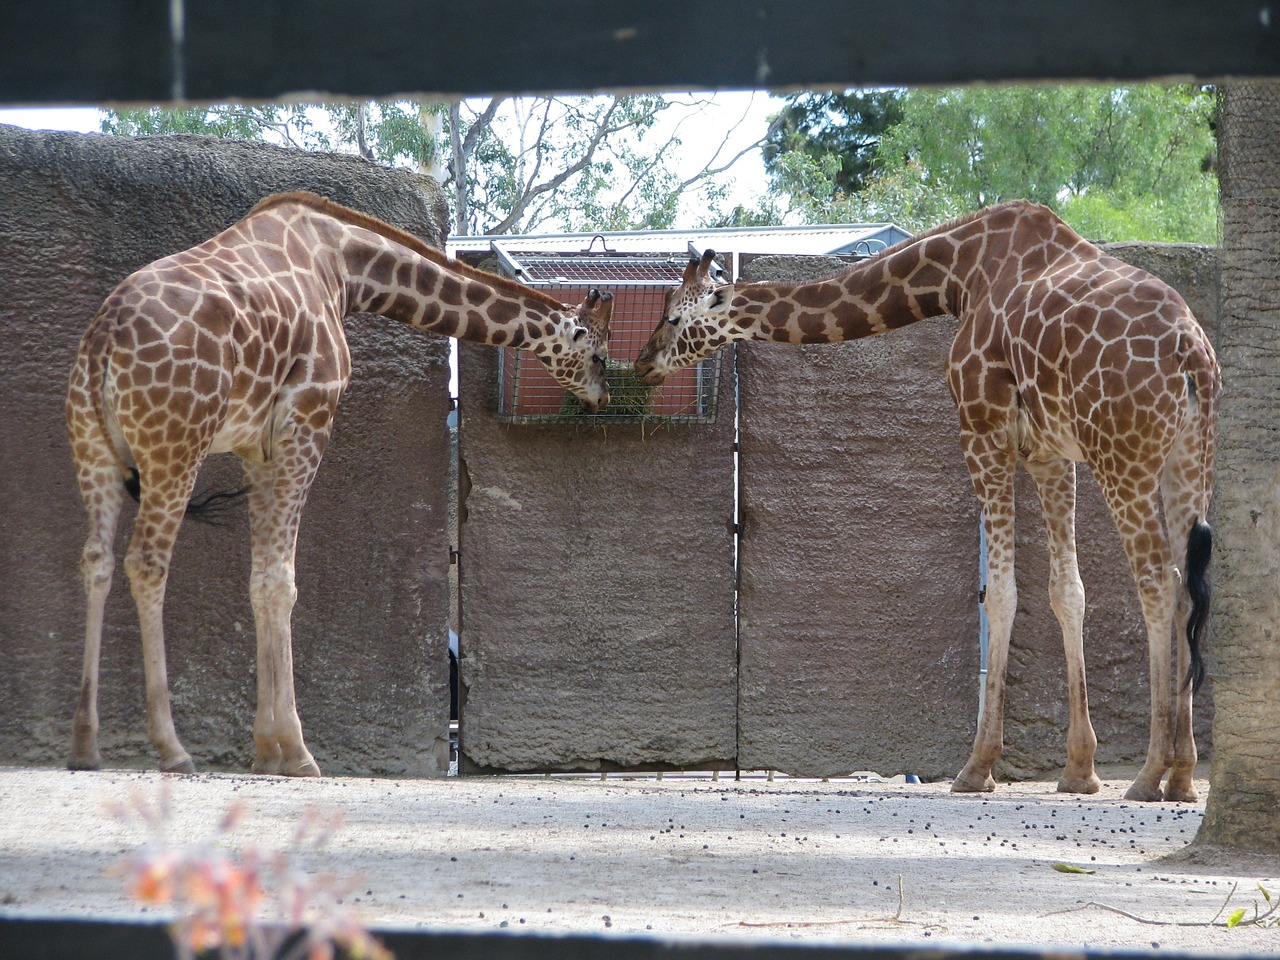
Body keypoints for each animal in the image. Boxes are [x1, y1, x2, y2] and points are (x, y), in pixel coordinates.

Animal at [64, 192, 614, 778]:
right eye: (599, 353)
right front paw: (297, 751)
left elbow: (259, 580)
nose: (602, 398)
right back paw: (171, 747)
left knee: (96, 561)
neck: (344, 265)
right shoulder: (308, 419)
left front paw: (266, 751)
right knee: (146, 562)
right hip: (177, 441)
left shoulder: (255, 447)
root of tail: (105, 337)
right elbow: (282, 582)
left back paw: (85, 744)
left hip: (93, 448)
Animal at [634, 199, 1213, 798]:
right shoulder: (1050, 453)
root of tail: (1192, 353)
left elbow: (1000, 593)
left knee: (1158, 582)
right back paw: (1183, 772)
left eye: (673, 317)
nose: (643, 362)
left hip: (1123, 454)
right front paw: (1079, 769)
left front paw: (977, 766)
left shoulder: (982, 428)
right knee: (1190, 588)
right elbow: (1067, 592)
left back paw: (1149, 772)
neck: (959, 273)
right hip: (1190, 456)